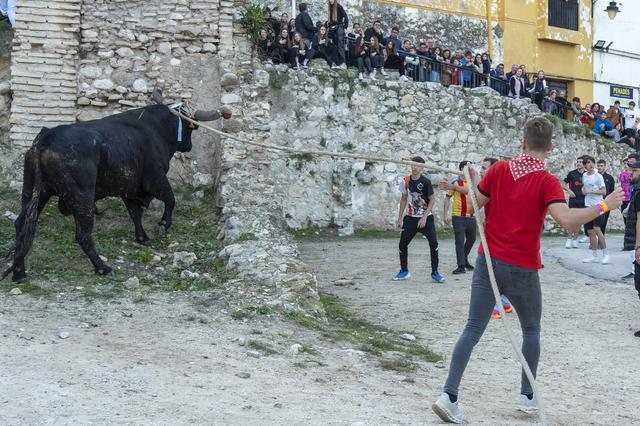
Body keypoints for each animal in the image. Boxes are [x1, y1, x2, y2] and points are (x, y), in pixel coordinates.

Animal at [1, 102, 225, 282]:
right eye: (189, 128)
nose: (189, 146)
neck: (157, 128)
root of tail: (46, 137)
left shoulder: (129, 187)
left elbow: (135, 213)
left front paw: (142, 237)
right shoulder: (156, 178)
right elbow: (170, 199)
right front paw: (163, 224)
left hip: (35, 192)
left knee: (23, 225)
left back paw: (20, 274)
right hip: (82, 198)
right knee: (83, 235)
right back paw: (102, 267)